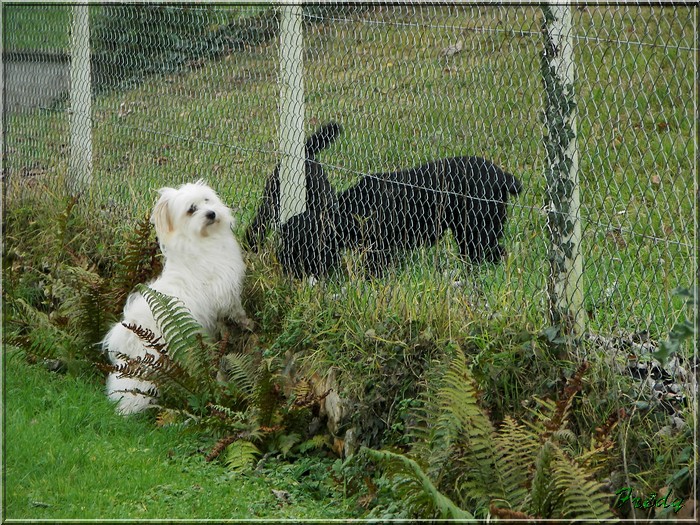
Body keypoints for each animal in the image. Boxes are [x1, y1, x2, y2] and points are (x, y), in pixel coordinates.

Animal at [104, 180, 252, 414]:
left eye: (207, 200)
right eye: (191, 209)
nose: (211, 213)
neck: (201, 240)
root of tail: (125, 335)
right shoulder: (225, 291)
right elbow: (236, 309)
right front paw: (247, 322)